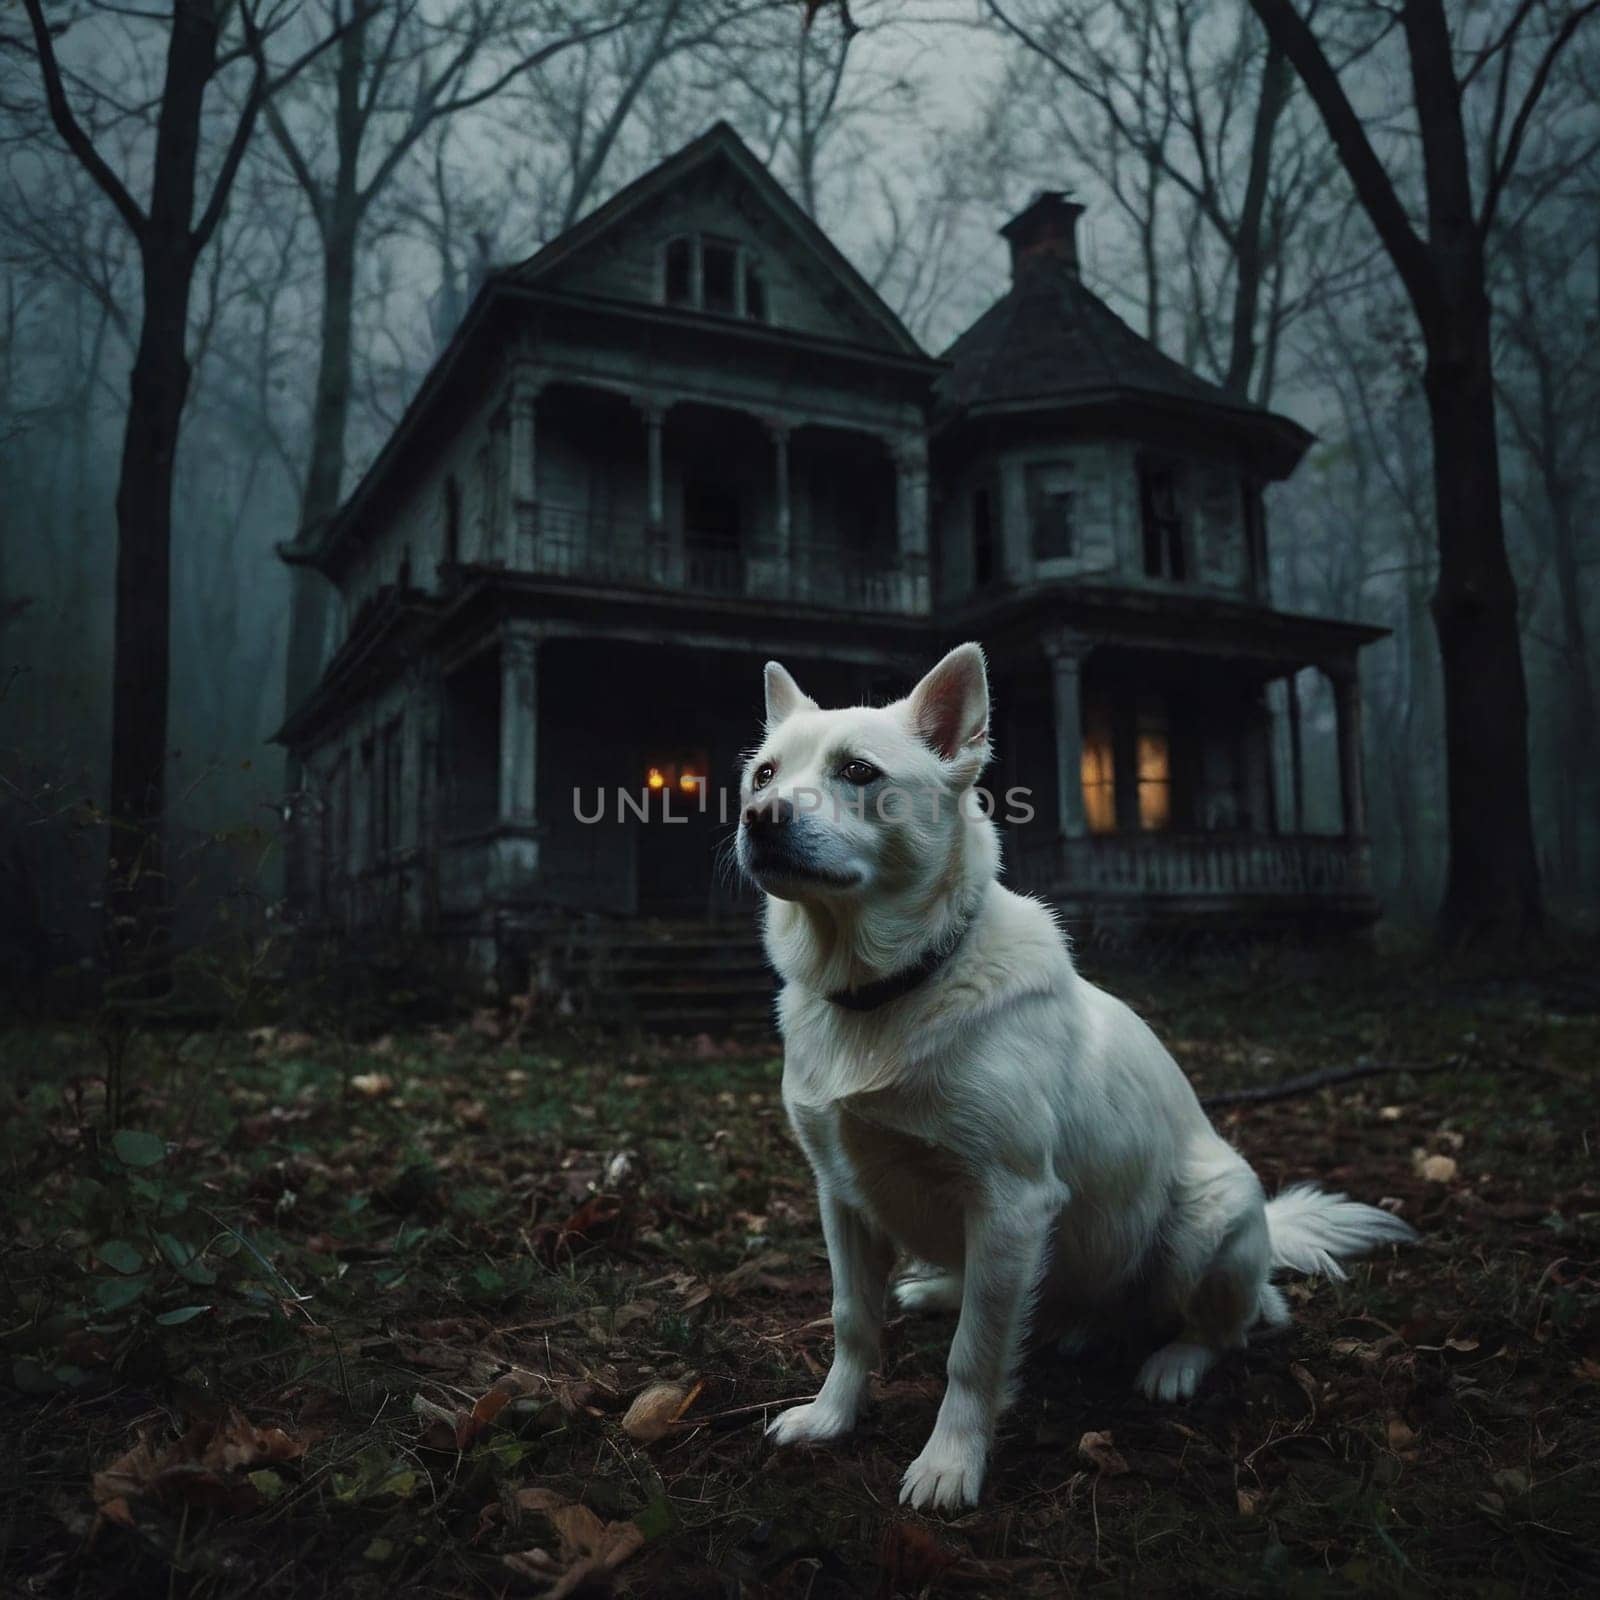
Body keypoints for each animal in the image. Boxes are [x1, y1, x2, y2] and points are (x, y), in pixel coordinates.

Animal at [742, 640, 1420, 1510]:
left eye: (858, 772)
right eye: (763, 774)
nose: (760, 818)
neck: (892, 987)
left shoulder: (1010, 1202)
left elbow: (973, 1357)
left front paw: (950, 1462)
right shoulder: (841, 1194)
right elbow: (851, 1321)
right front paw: (831, 1417)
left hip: (1209, 1217)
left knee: (1233, 1323)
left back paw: (1173, 1362)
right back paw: (950, 1291)